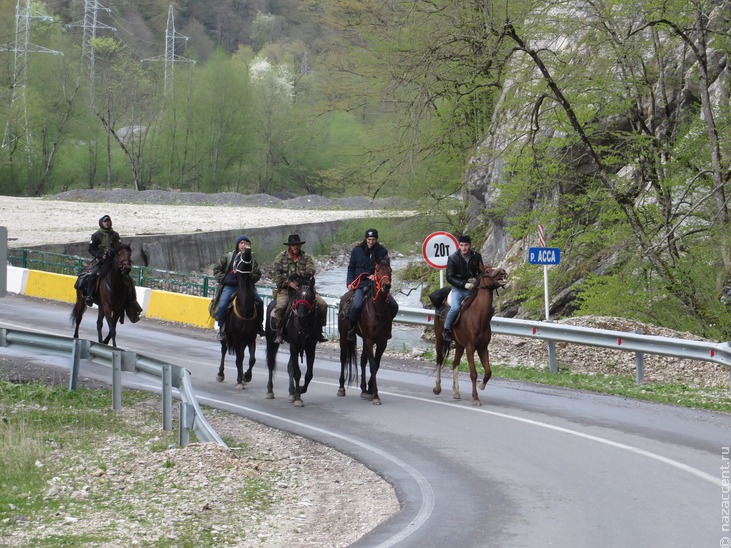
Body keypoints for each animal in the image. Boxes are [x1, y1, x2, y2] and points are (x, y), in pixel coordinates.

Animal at [264, 278, 318, 406]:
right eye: (298, 297)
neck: (304, 325)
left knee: (290, 367)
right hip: (271, 341)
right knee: (271, 363)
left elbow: (308, 374)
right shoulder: (294, 346)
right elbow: (297, 373)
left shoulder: (310, 348)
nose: (301, 316)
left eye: (311, 296)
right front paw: (298, 397)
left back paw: (291, 392)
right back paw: (270, 391)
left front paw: (301, 390)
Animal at [338, 256, 394, 402]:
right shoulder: (369, 340)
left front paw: (370, 390)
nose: (386, 286)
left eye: (390, 270)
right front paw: (375, 395)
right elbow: (373, 365)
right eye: (377, 270)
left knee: (363, 361)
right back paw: (341, 388)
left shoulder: (381, 342)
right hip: (344, 335)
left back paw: (363, 389)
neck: (378, 310)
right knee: (343, 357)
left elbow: (376, 364)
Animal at [432, 268, 506, 404]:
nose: (502, 271)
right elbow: (473, 373)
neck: (478, 317)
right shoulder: (470, 348)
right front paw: (476, 398)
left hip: (459, 345)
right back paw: (437, 388)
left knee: (455, 363)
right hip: (439, 339)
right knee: (439, 359)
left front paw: (481, 386)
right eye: (488, 270)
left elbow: (488, 372)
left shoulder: (483, 348)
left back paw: (456, 392)